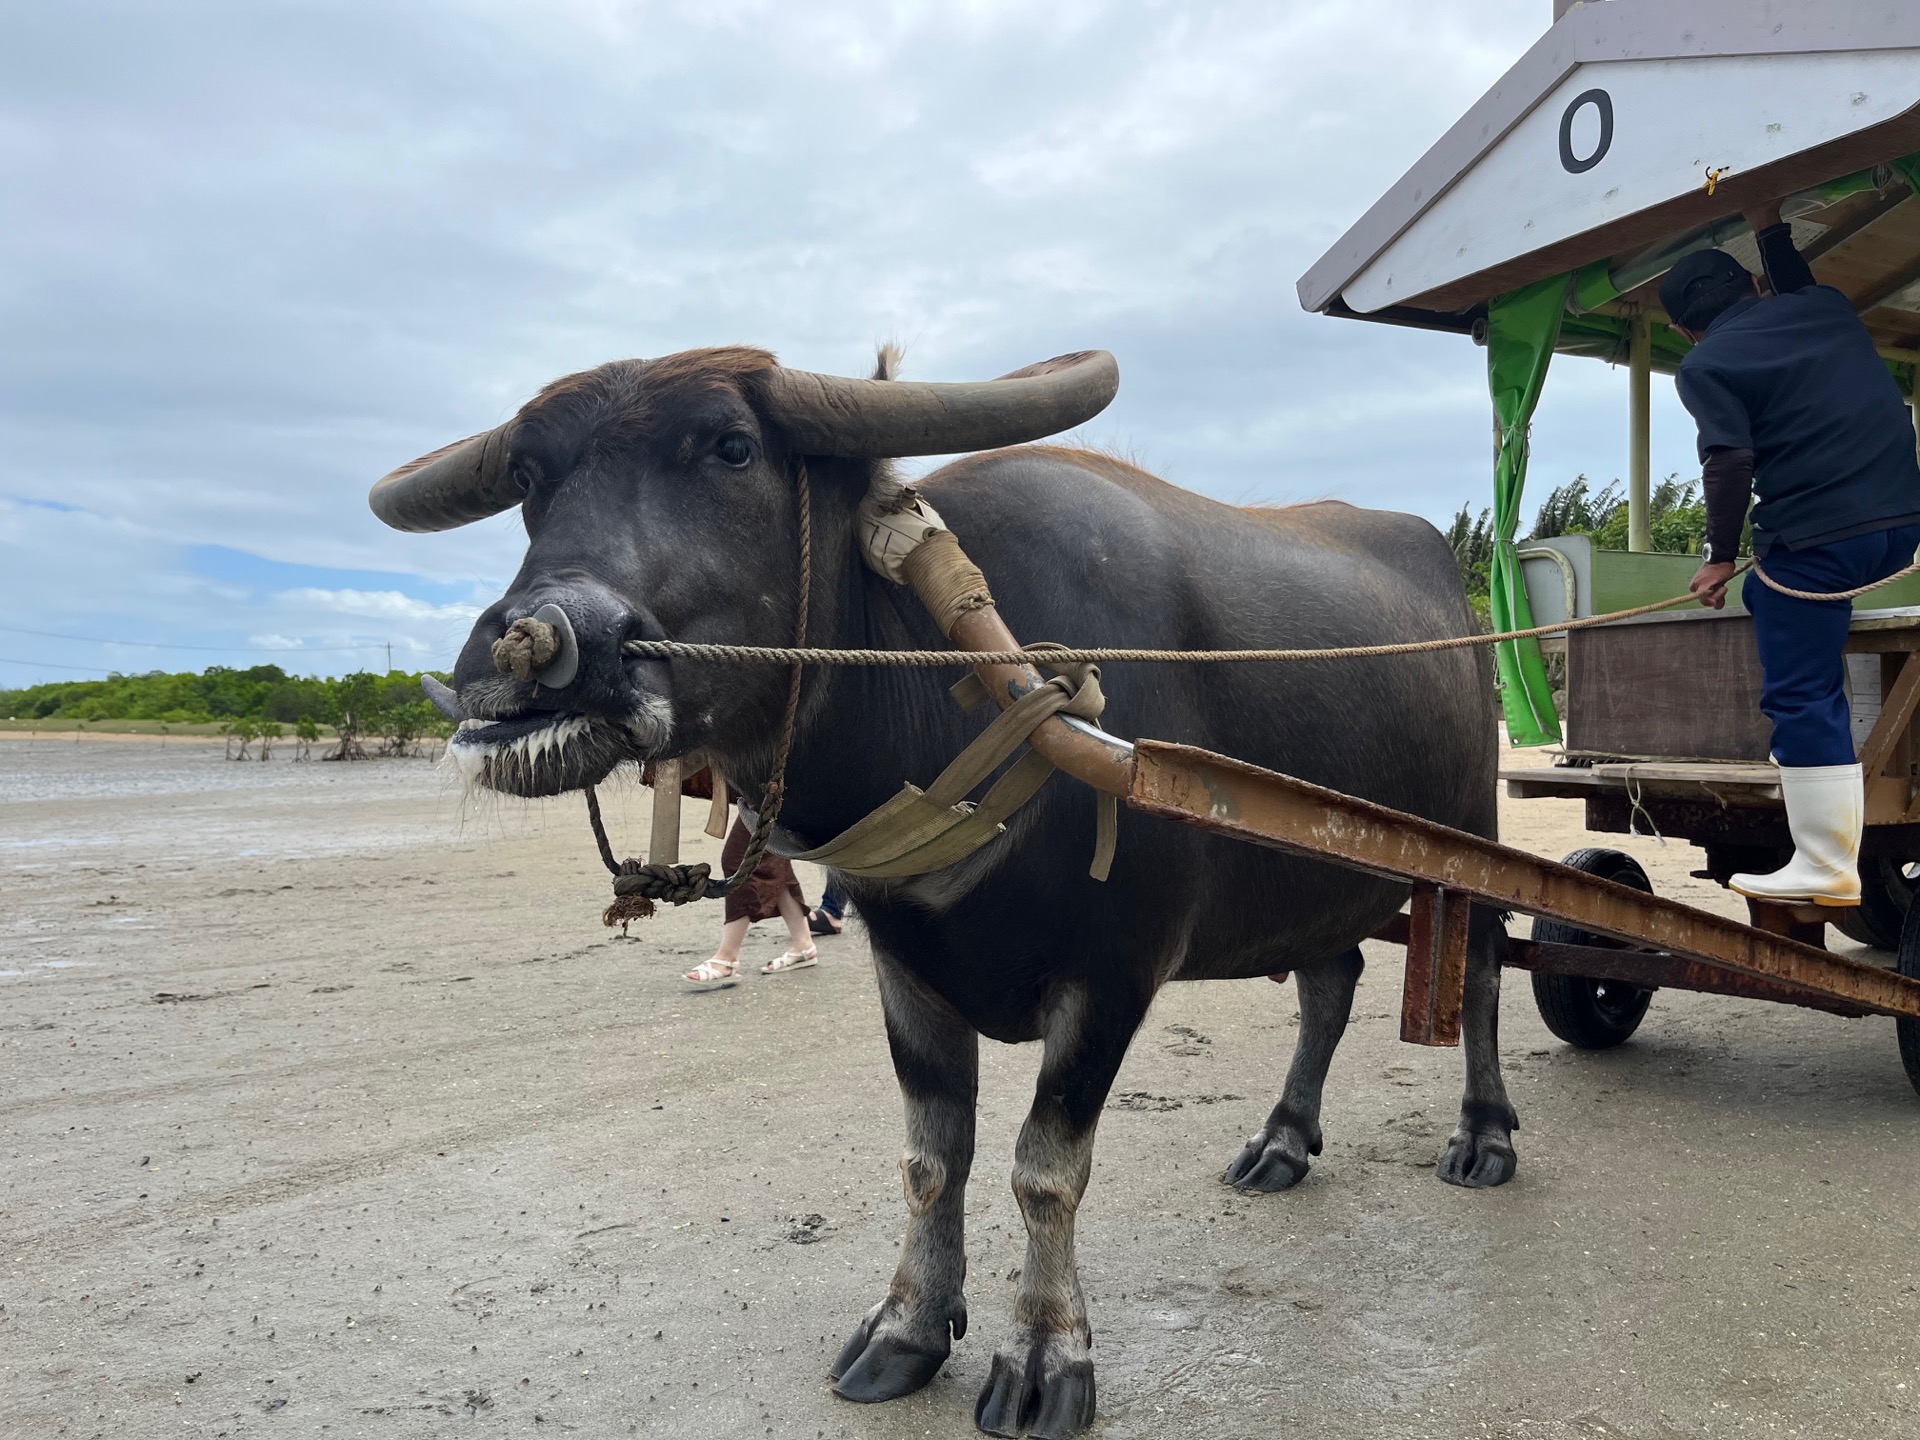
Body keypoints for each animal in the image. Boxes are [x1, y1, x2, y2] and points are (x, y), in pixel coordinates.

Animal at [370, 343, 1512, 1436]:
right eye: (529, 477)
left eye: (731, 448)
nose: (527, 648)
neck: (955, 686)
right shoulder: (905, 964)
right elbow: (933, 1157)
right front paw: (908, 1327)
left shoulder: (1114, 975)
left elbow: (1045, 1165)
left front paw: (1046, 1354)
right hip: (1325, 876)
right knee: (1332, 979)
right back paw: (1282, 1140)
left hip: (1476, 841)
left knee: (1486, 974)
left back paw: (1484, 1135)